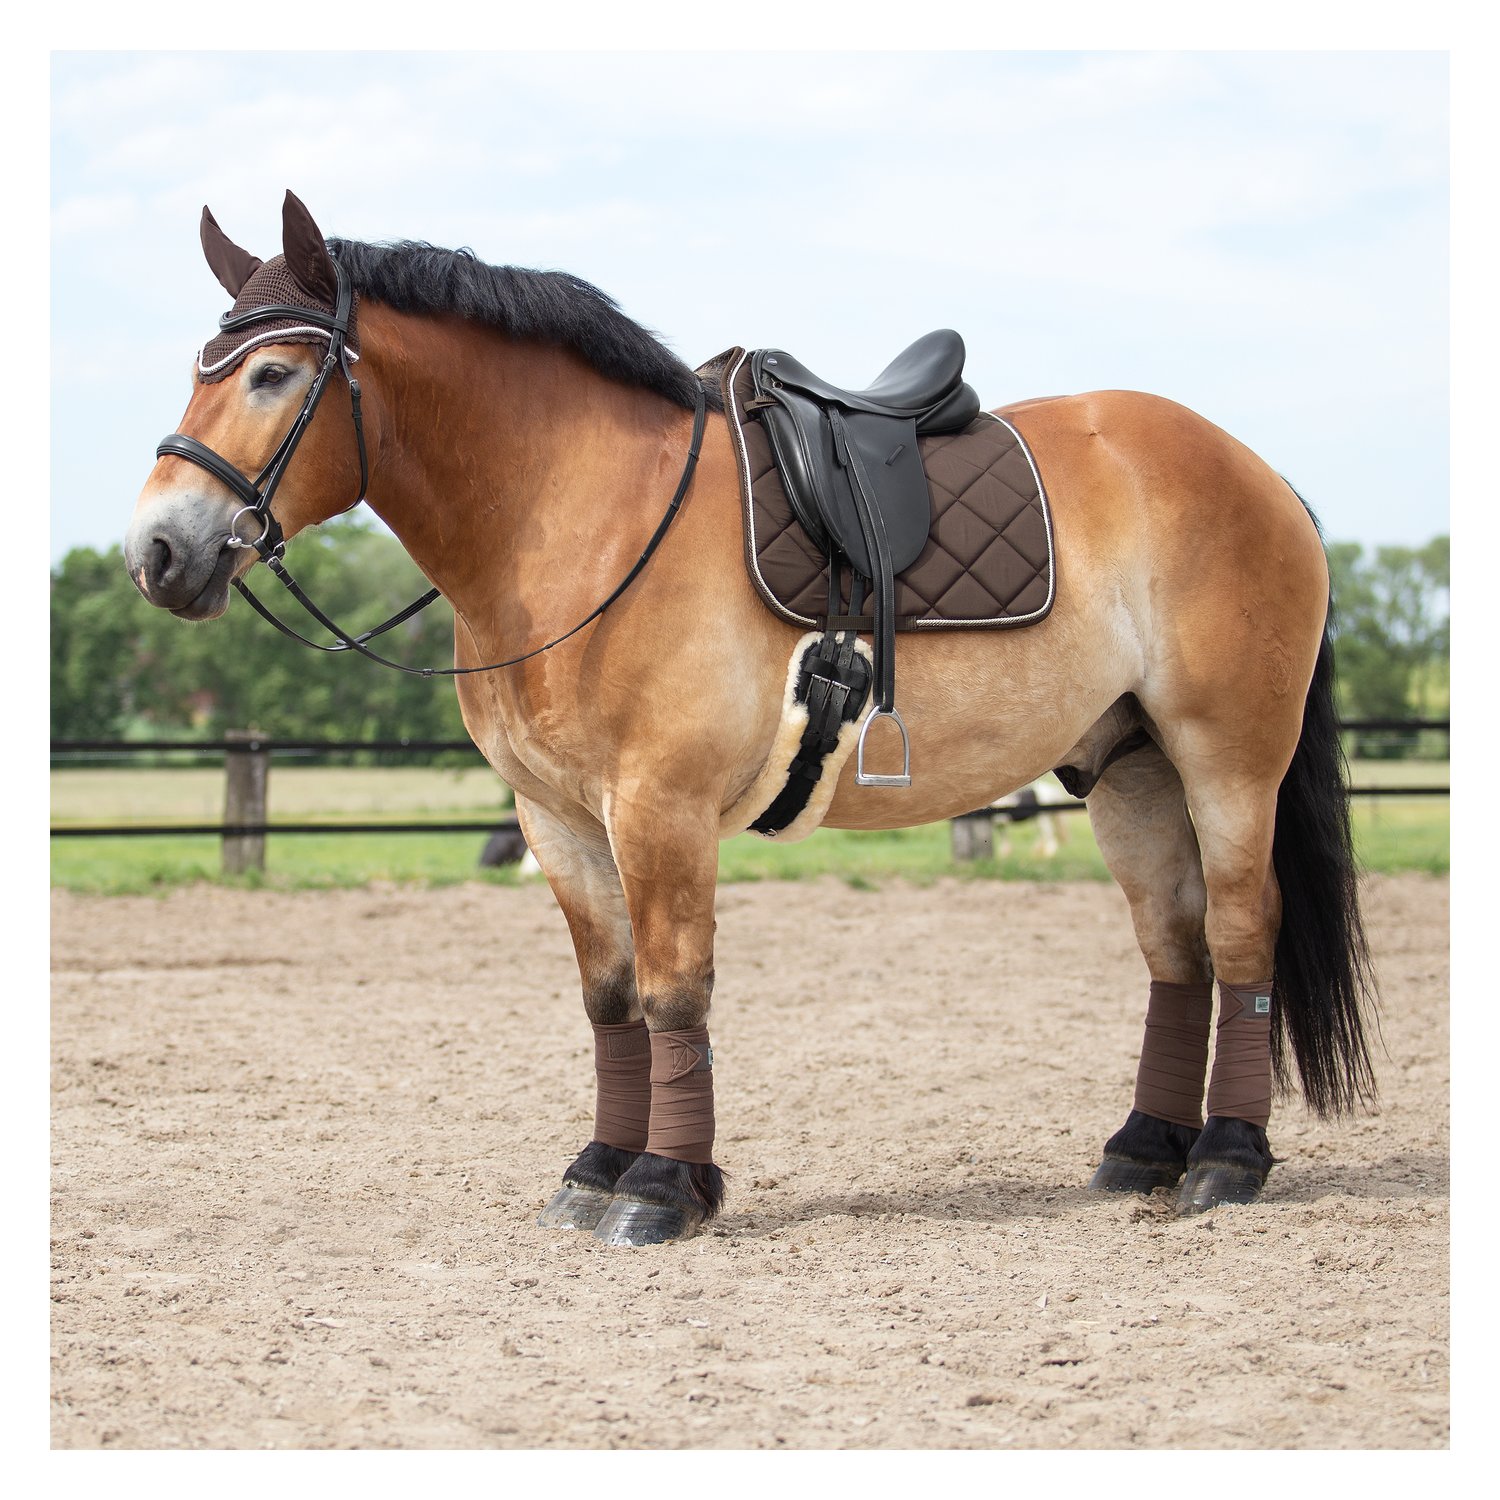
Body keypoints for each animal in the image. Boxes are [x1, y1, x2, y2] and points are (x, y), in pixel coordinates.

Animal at [124, 191, 1376, 1246]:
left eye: (272, 373)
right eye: (200, 370)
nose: (158, 552)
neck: (578, 522)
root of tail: (1258, 473)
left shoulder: (659, 810)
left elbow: (676, 992)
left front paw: (663, 1190)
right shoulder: (557, 822)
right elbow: (612, 1000)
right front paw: (597, 1169)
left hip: (1227, 763)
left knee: (1241, 935)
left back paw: (1226, 1160)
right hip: (1128, 771)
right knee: (1176, 950)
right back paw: (1143, 1151)